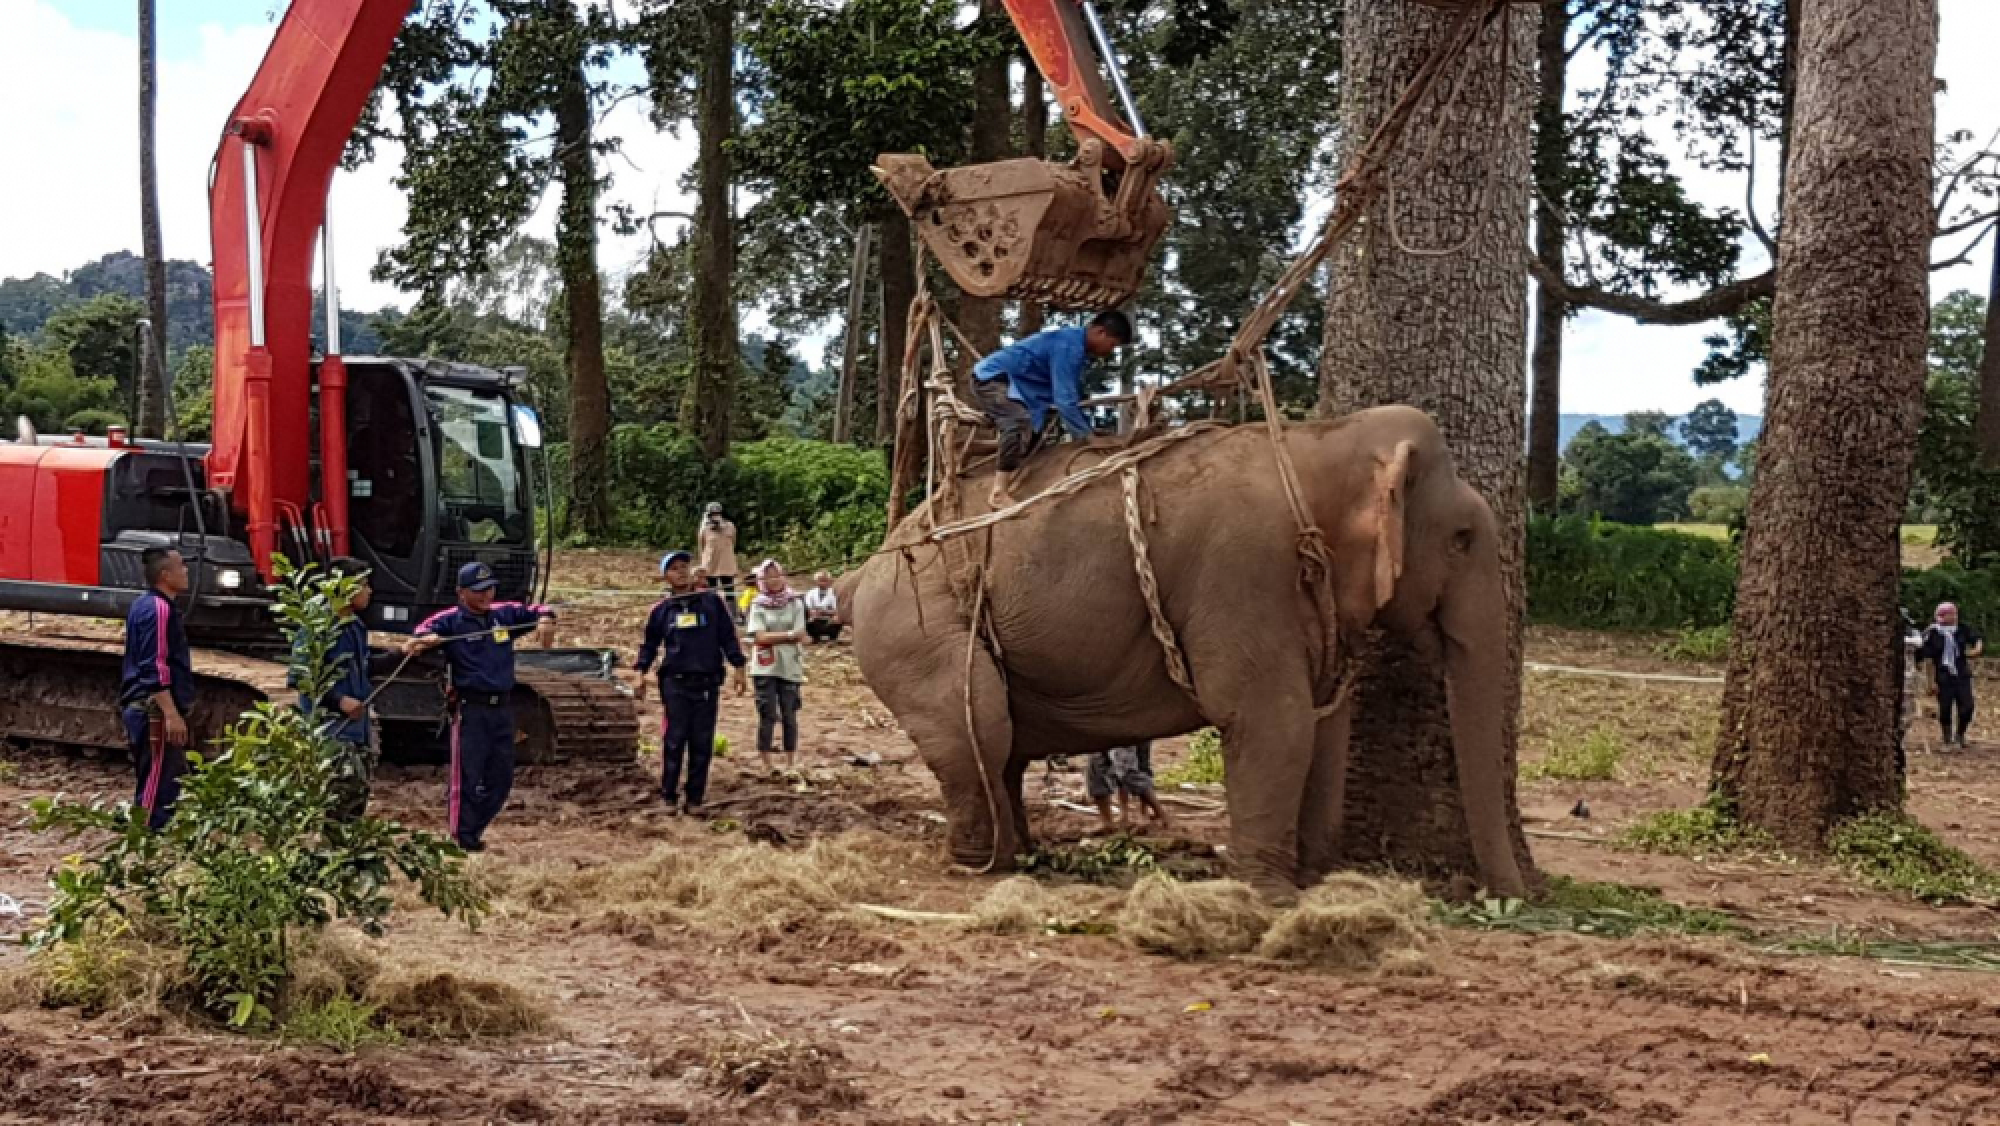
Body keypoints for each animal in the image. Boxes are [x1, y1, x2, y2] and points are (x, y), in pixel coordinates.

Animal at [843, 404, 1528, 899]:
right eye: (1463, 540)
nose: (1501, 897)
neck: (1313, 444)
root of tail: (868, 565)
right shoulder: (1244, 573)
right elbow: (1271, 721)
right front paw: (1271, 897)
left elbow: (1325, 727)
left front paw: (1315, 879)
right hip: (914, 629)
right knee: (978, 729)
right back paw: (984, 865)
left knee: (1002, 743)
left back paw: (1025, 855)